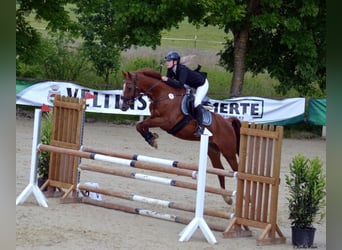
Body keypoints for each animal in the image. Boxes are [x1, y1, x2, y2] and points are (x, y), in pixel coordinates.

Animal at [120, 68, 240, 203]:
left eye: (129, 87)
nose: (123, 107)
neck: (163, 95)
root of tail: (228, 122)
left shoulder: (166, 122)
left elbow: (142, 124)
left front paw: (152, 139)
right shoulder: (154, 118)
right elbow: (140, 125)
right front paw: (151, 138)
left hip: (228, 150)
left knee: (236, 170)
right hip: (213, 150)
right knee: (220, 171)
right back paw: (227, 197)